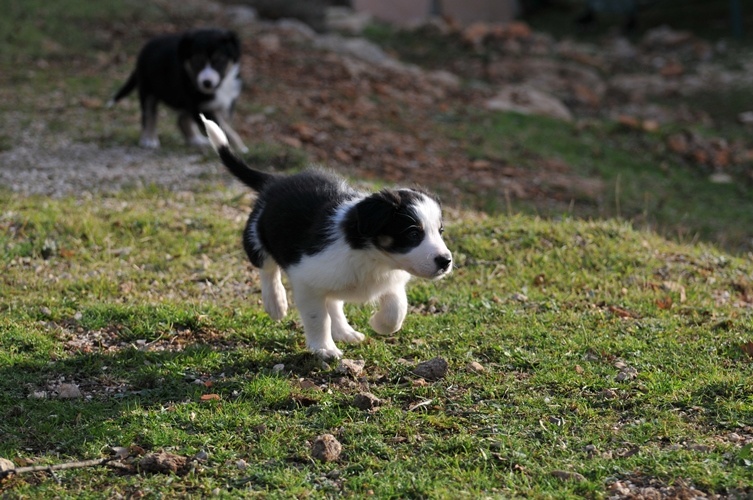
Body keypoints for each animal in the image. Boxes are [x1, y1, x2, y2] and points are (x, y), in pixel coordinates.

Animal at [108, 28, 247, 150]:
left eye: (219, 60)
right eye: (197, 61)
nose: (206, 83)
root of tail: (147, 45)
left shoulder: (228, 103)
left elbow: (227, 126)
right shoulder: (201, 106)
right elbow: (223, 128)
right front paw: (238, 148)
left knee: (181, 119)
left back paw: (195, 140)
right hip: (148, 88)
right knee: (148, 114)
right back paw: (149, 140)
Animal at [198, 116, 452, 360]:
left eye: (440, 231)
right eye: (413, 233)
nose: (446, 261)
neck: (374, 257)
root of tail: (275, 181)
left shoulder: (391, 279)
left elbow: (397, 308)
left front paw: (378, 324)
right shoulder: (306, 280)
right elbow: (317, 317)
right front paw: (324, 349)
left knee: (333, 301)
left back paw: (345, 332)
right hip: (256, 233)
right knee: (267, 267)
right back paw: (276, 303)